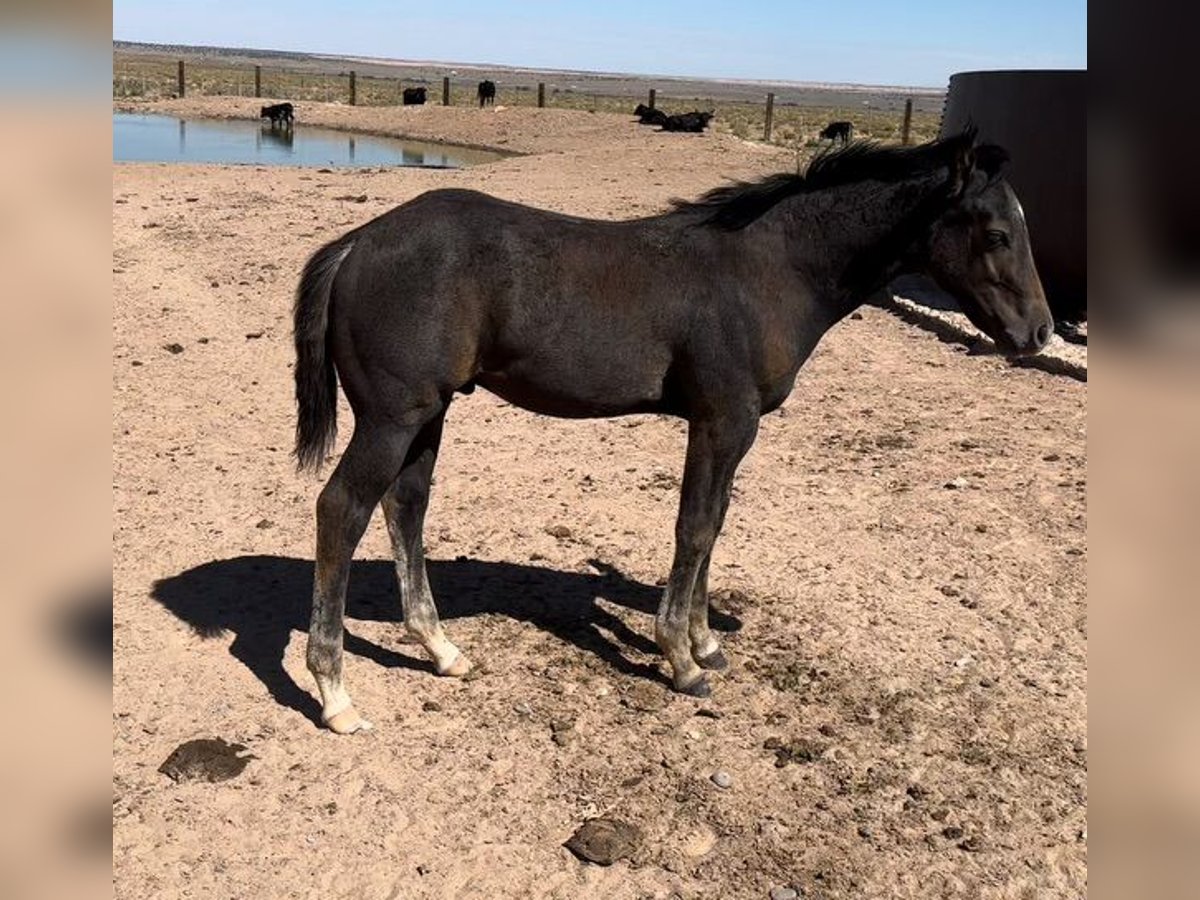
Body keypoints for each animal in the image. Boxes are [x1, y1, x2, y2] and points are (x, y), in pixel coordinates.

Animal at [290, 130, 1051, 734]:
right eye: (997, 234)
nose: (1039, 333)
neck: (769, 271)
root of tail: (357, 243)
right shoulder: (722, 421)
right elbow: (695, 527)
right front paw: (682, 660)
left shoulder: (730, 429)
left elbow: (714, 524)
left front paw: (708, 642)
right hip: (393, 417)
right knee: (341, 509)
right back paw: (335, 694)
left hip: (430, 414)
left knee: (405, 507)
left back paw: (442, 650)